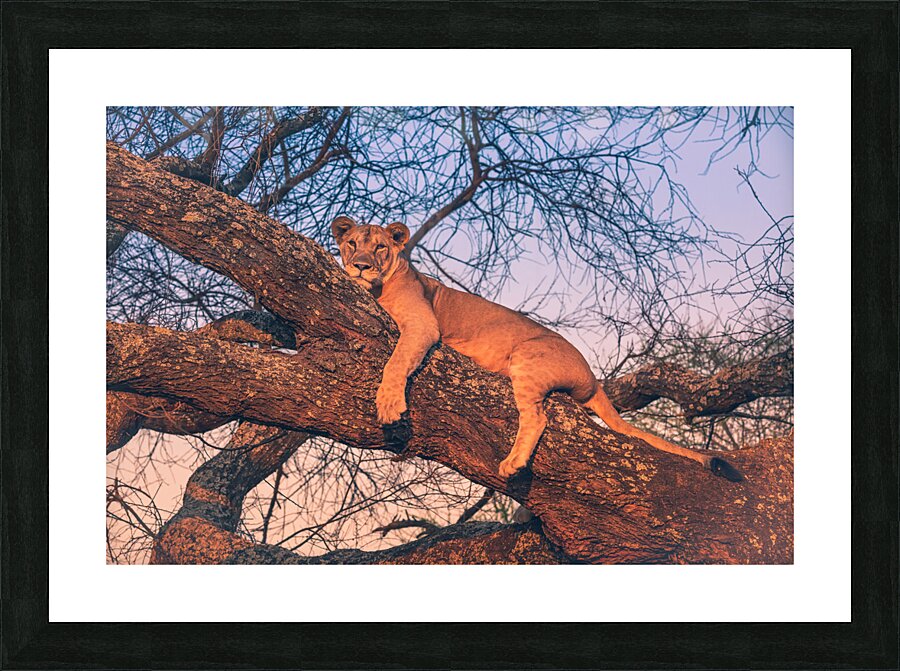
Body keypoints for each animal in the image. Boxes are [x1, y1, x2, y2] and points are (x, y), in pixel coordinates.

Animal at [331, 216, 742, 482]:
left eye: (380, 247)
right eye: (351, 244)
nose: (361, 266)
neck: (379, 287)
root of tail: (592, 376)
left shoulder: (423, 325)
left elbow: (396, 361)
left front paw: (388, 405)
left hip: (527, 357)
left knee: (537, 417)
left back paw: (512, 463)